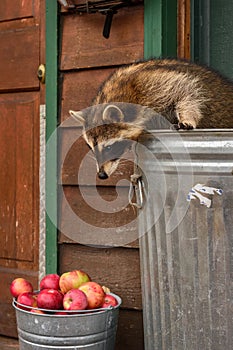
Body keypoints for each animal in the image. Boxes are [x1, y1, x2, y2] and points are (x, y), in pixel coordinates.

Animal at [70, 58, 233, 179]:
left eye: (109, 147)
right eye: (90, 148)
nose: (101, 175)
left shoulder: (152, 85)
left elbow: (187, 90)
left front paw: (188, 116)